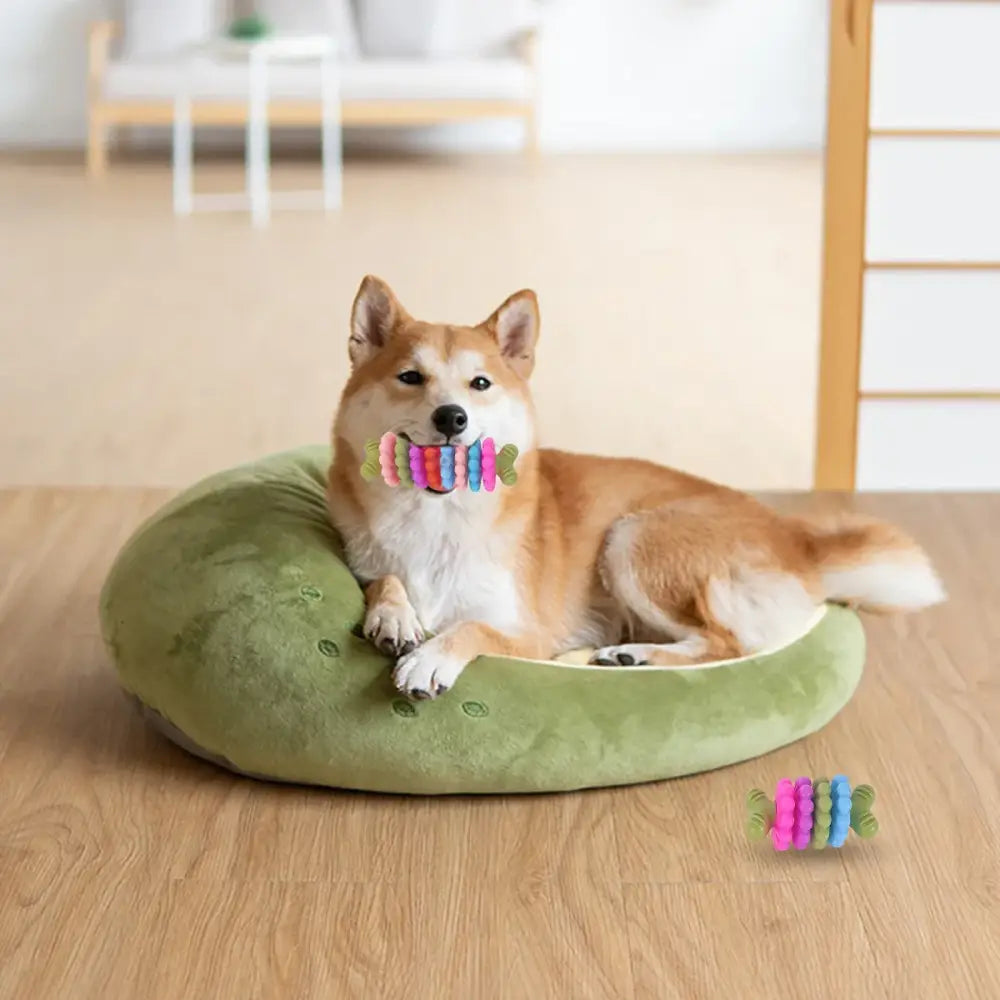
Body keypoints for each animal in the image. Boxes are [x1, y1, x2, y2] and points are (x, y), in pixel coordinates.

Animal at [330, 274, 944, 696]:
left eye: (479, 384)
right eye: (411, 377)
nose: (452, 417)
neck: (436, 519)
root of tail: (796, 539)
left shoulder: (527, 633)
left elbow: (470, 631)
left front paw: (431, 658)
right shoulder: (368, 561)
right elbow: (384, 579)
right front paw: (394, 615)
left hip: (632, 540)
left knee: (727, 645)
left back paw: (638, 657)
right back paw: (626, 657)